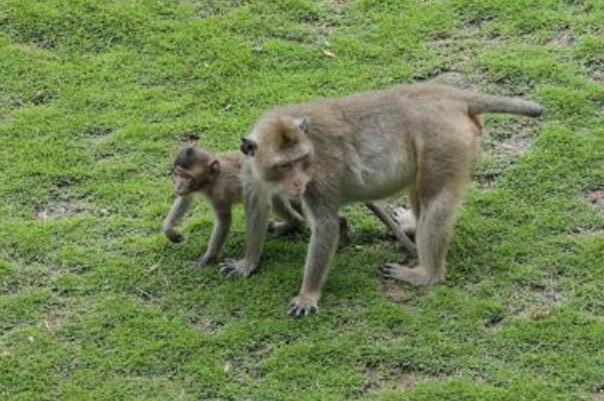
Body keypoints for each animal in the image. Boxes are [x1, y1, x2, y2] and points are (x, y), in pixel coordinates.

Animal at [225, 83, 544, 316]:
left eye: (302, 160)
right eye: (283, 165)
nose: (297, 182)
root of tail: (447, 93)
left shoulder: (318, 176)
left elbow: (326, 226)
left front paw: (308, 294)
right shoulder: (251, 169)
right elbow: (257, 208)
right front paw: (247, 262)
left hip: (446, 142)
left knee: (434, 204)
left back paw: (428, 274)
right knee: (420, 193)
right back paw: (412, 227)